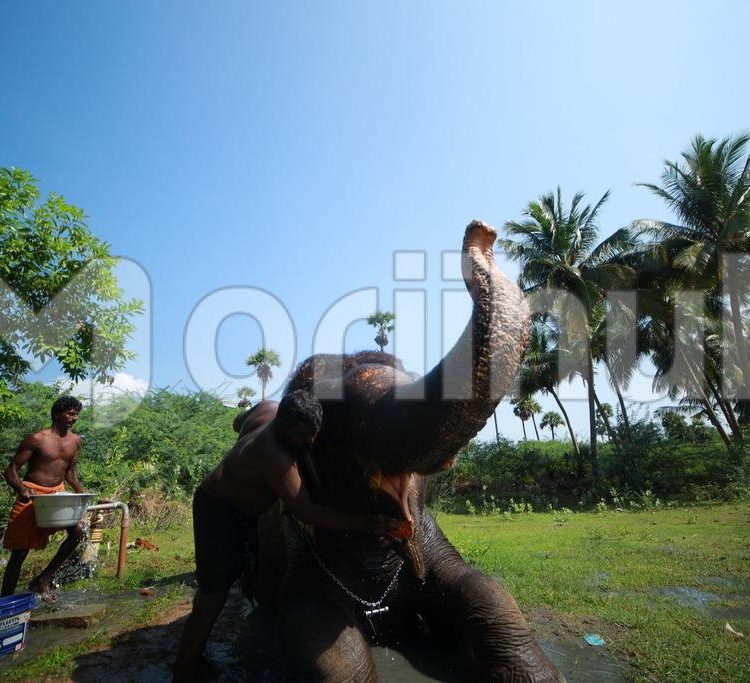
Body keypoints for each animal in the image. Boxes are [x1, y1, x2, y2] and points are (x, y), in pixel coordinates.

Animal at [252, 220, 566, 682]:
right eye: (332, 419)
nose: (483, 232)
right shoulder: (300, 547)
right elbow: (317, 630)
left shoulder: (433, 536)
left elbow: (481, 585)